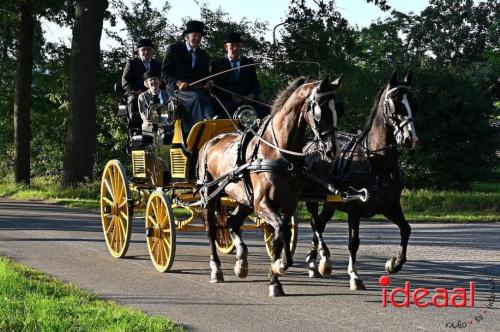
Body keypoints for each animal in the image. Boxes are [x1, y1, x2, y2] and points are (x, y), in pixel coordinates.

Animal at [197, 76, 346, 296]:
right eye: (319, 110)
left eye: (338, 109)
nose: (331, 151)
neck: (280, 154)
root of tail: (210, 142)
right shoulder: (263, 204)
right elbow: (282, 230)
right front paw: (280, 266)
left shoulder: (287, 204)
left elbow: (278, 236)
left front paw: (274, 278)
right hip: (210, 195)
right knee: (211, 230)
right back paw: (216, 269)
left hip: (245, 200)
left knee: (233, 221)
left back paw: (241, 262)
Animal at [304, 71, 418, 290]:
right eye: (394, 103)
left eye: (413, 103)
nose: (411, 139)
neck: (375, 161)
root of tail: (309, 145)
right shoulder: (354, 209)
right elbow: (353, 242)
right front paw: (354, 276)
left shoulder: (390, 205)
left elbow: (406, 229)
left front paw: (394, 264)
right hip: (311, 198)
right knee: (314, 223)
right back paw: (318, 261)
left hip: (330, 203)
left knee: (319, 224)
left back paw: (315, 261)